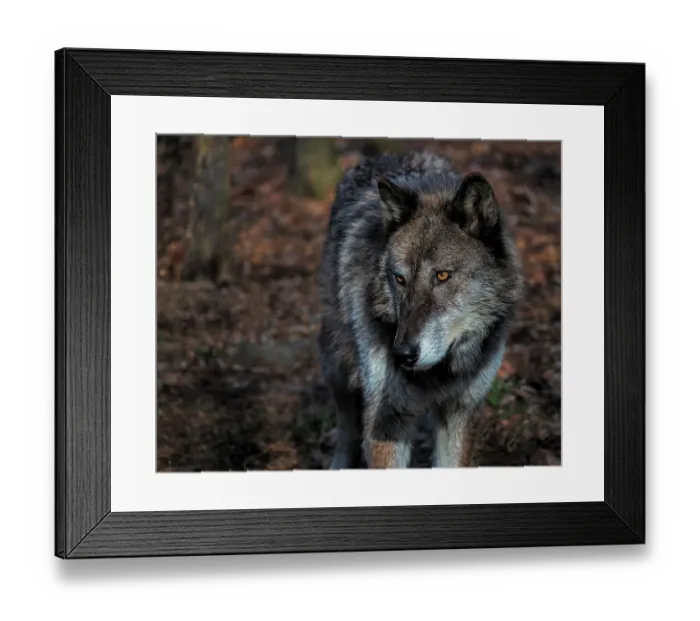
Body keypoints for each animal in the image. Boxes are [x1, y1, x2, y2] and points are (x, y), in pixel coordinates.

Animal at [317, 151, 523, 469]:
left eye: (442, 276)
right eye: (399, 279)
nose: (402, 354)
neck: (439, 373)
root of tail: (388, 155)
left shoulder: (461, 410)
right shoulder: (387, 418)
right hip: (336, 364)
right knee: (347, 421)